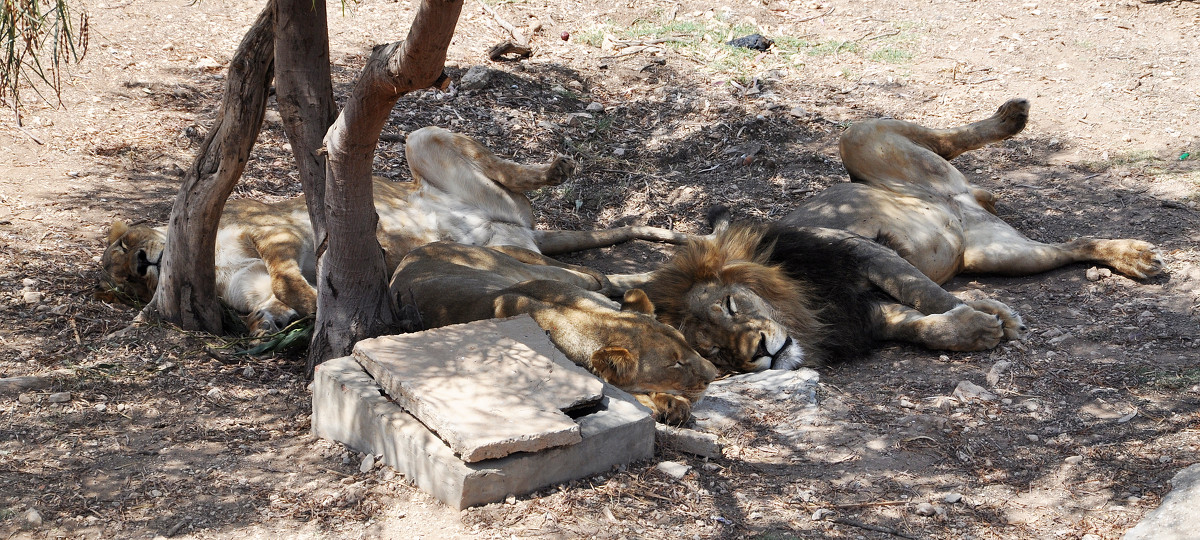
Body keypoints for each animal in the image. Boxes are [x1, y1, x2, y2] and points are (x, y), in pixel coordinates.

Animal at [97, 128, 686, 336]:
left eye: (124, 248)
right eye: (124, 279)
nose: (140, 265)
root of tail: (519, 227)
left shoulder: (272, 228)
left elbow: (286, 273)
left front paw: (310, 304)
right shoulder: (245, 280)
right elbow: (269, 293)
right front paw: (274, 320)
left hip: (421, 140)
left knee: (506, 168)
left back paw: (555, 170)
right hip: (504, 245)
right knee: (567, 271)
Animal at [388, 241, 715, 427]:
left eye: (685, 345)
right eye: (675, 364)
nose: (713, 374)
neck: (595, 318)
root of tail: (418, 249)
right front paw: (662, 404)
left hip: (528, 270)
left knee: (587, 274)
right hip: (527, 271)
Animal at [648, 97, 1161, 372]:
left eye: (732, 306)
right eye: (716, 352)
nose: (759, 353)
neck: (800, 305)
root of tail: (962, 199)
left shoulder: (859, 250)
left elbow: (926, 293)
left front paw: (988, 313)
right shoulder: (859, 315)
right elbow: (920, 326)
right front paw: (973, 328)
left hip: (859, 139)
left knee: (938, 138)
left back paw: (1011, 116)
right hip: (1000, 253)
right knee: (1071, 247)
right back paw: (1133, 257)